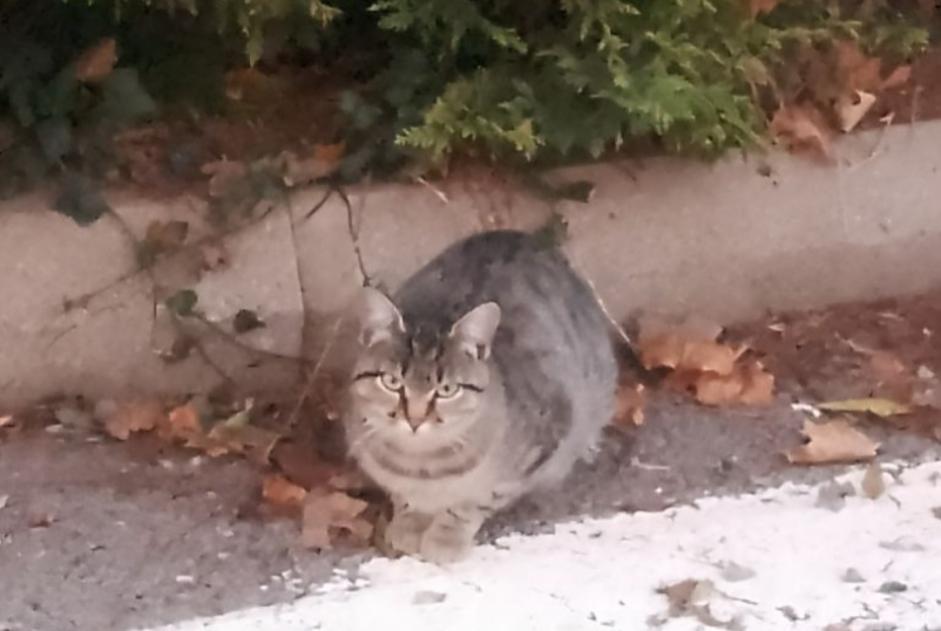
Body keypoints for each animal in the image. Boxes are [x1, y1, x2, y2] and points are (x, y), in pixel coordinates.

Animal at [342, 231, 612, 564]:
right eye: (392, 382)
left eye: (447, 389)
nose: (415, 419)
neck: (422, 467)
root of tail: (523, 237)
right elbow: (406, 498)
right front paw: (410, 523)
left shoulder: (542, 440)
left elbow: (473, 501)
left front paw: (446, 536)